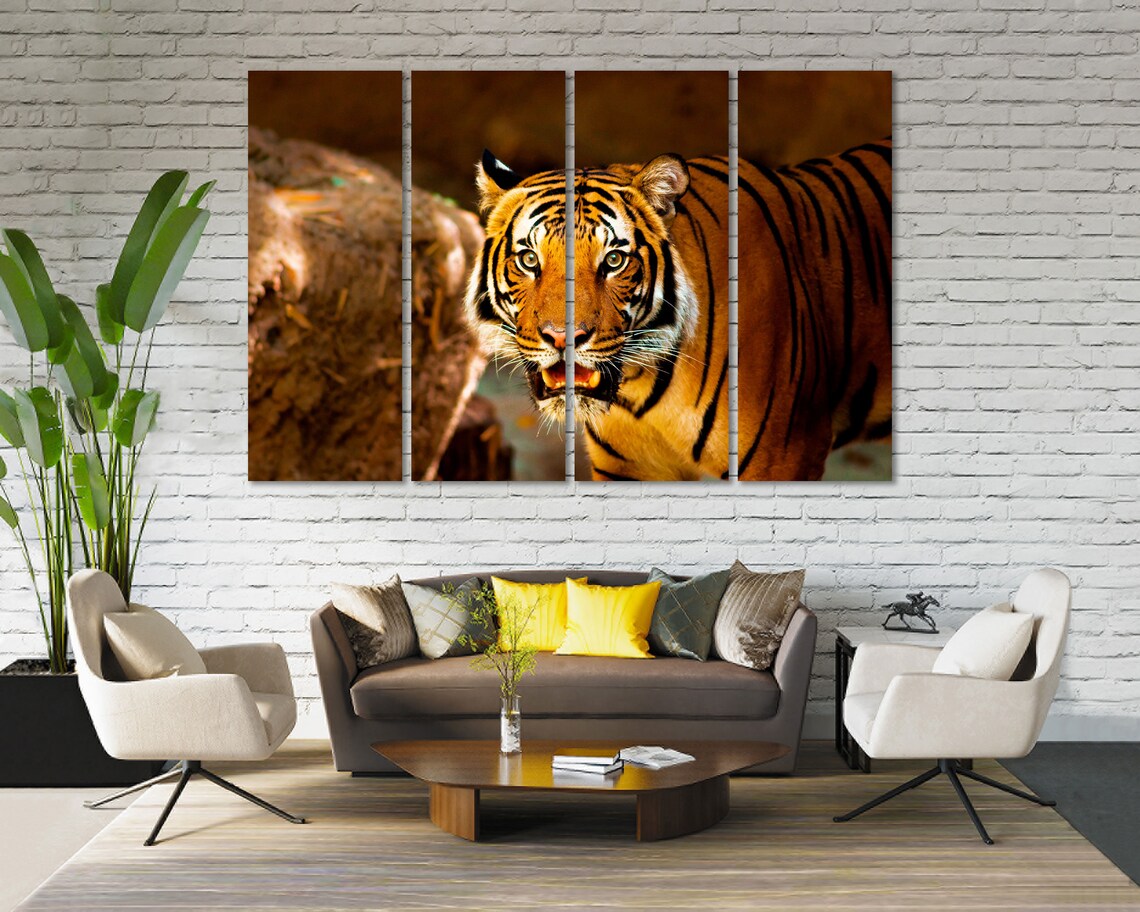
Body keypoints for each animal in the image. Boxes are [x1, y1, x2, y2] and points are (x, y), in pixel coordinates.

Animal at [464, 140, 892, 481]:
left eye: (614, 260)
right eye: (529, 259)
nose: (561, 338)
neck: (640, 386)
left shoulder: (785, 458)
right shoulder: (627, 470)